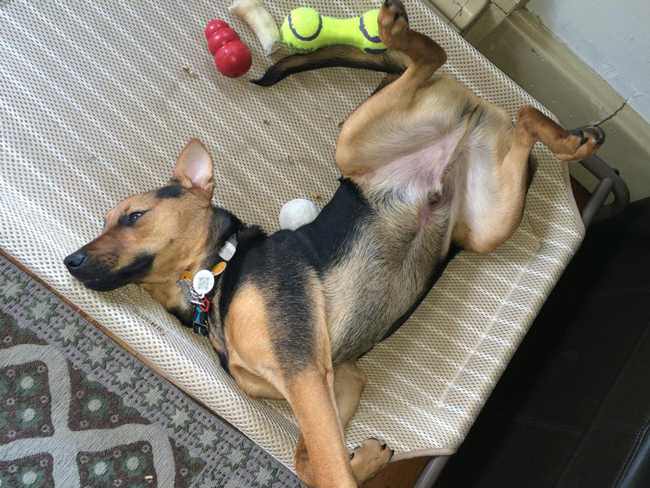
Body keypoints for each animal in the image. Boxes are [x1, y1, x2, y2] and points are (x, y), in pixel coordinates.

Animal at [64, 1, 604, 486]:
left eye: (133, 216)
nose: (70, 261)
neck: (216, 274)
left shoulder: (303, 373)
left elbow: (325, 467)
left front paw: (350, 465)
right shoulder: (337, 378)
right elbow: (310, 458)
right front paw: (367, 458)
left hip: (355, 143)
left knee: (436, 59)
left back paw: (393, 26)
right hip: (488, 224)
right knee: (523, 119)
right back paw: (573, 142)